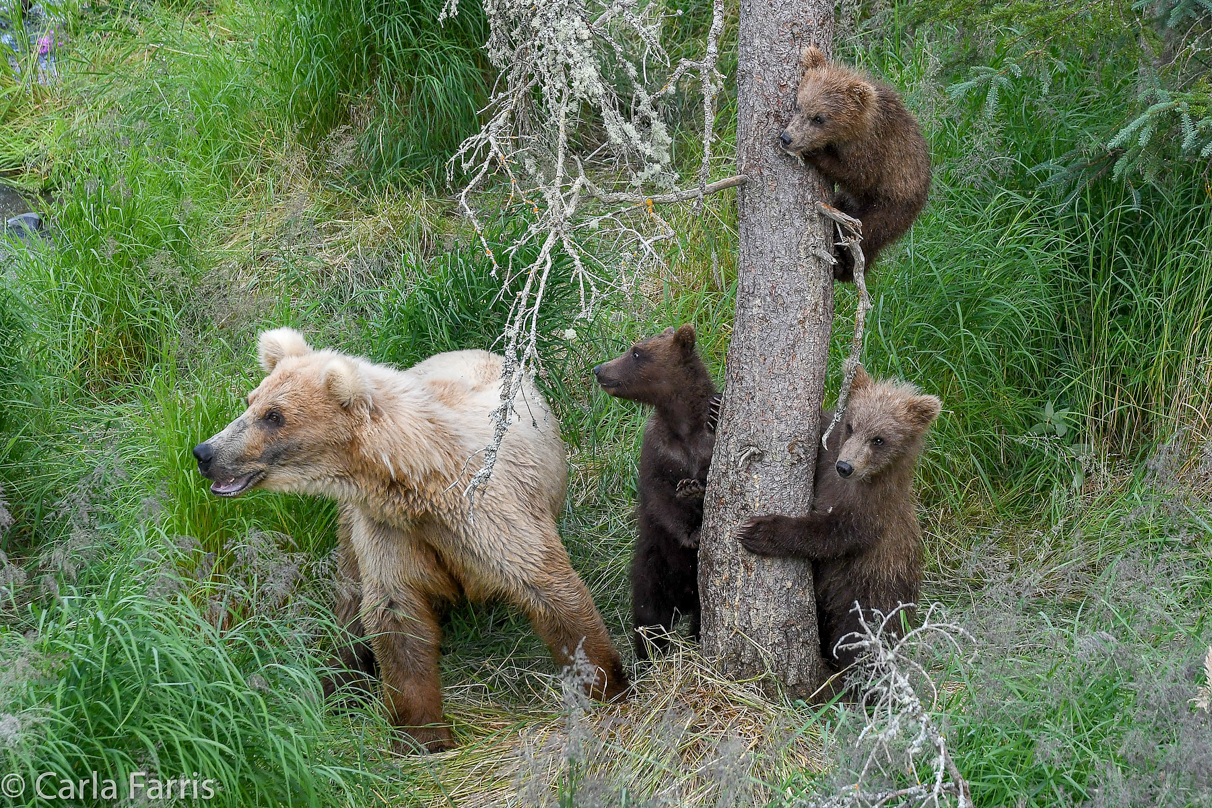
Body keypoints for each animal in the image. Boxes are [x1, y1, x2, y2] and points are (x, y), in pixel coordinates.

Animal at [193, 329, 630, 751]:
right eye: (250, 401)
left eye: (274, 415)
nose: (205, 452)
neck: (417, 478)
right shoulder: (390, 531)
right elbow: (396, 614)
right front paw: (423, 735)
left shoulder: (487, 515)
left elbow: (548, 586)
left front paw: (607, 684)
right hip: (351, 531)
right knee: (348, 600)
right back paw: (338, 683)